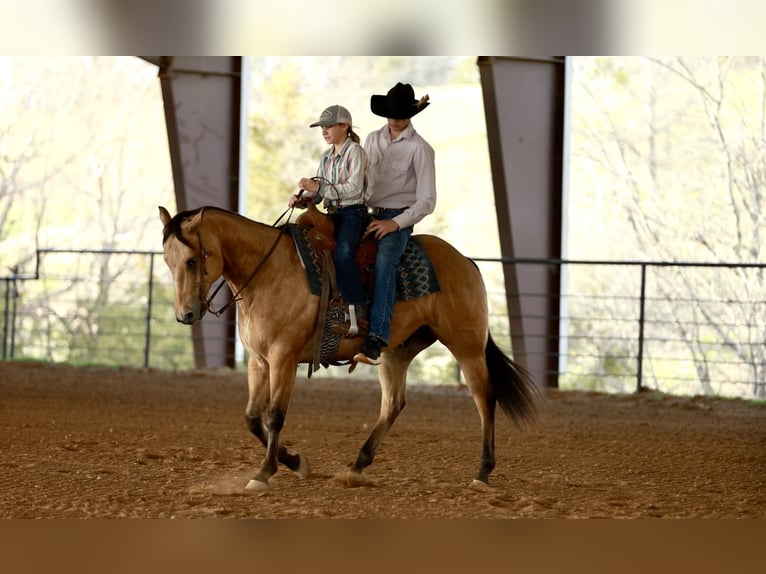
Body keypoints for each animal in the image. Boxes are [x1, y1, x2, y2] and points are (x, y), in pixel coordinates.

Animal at [159, 204, 539, 491]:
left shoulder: (283, 358)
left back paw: (482, 472)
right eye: (167, 261)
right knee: (393, 403)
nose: (185, 314)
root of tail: (465, 261)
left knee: (484, 398)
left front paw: (264, 474)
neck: (268, 273)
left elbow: (275, 415)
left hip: (467, 346)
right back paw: (357, 466)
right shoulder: (259, 360)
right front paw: (296, 462)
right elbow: (253, 418)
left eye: (192, 260)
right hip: (396, 351)